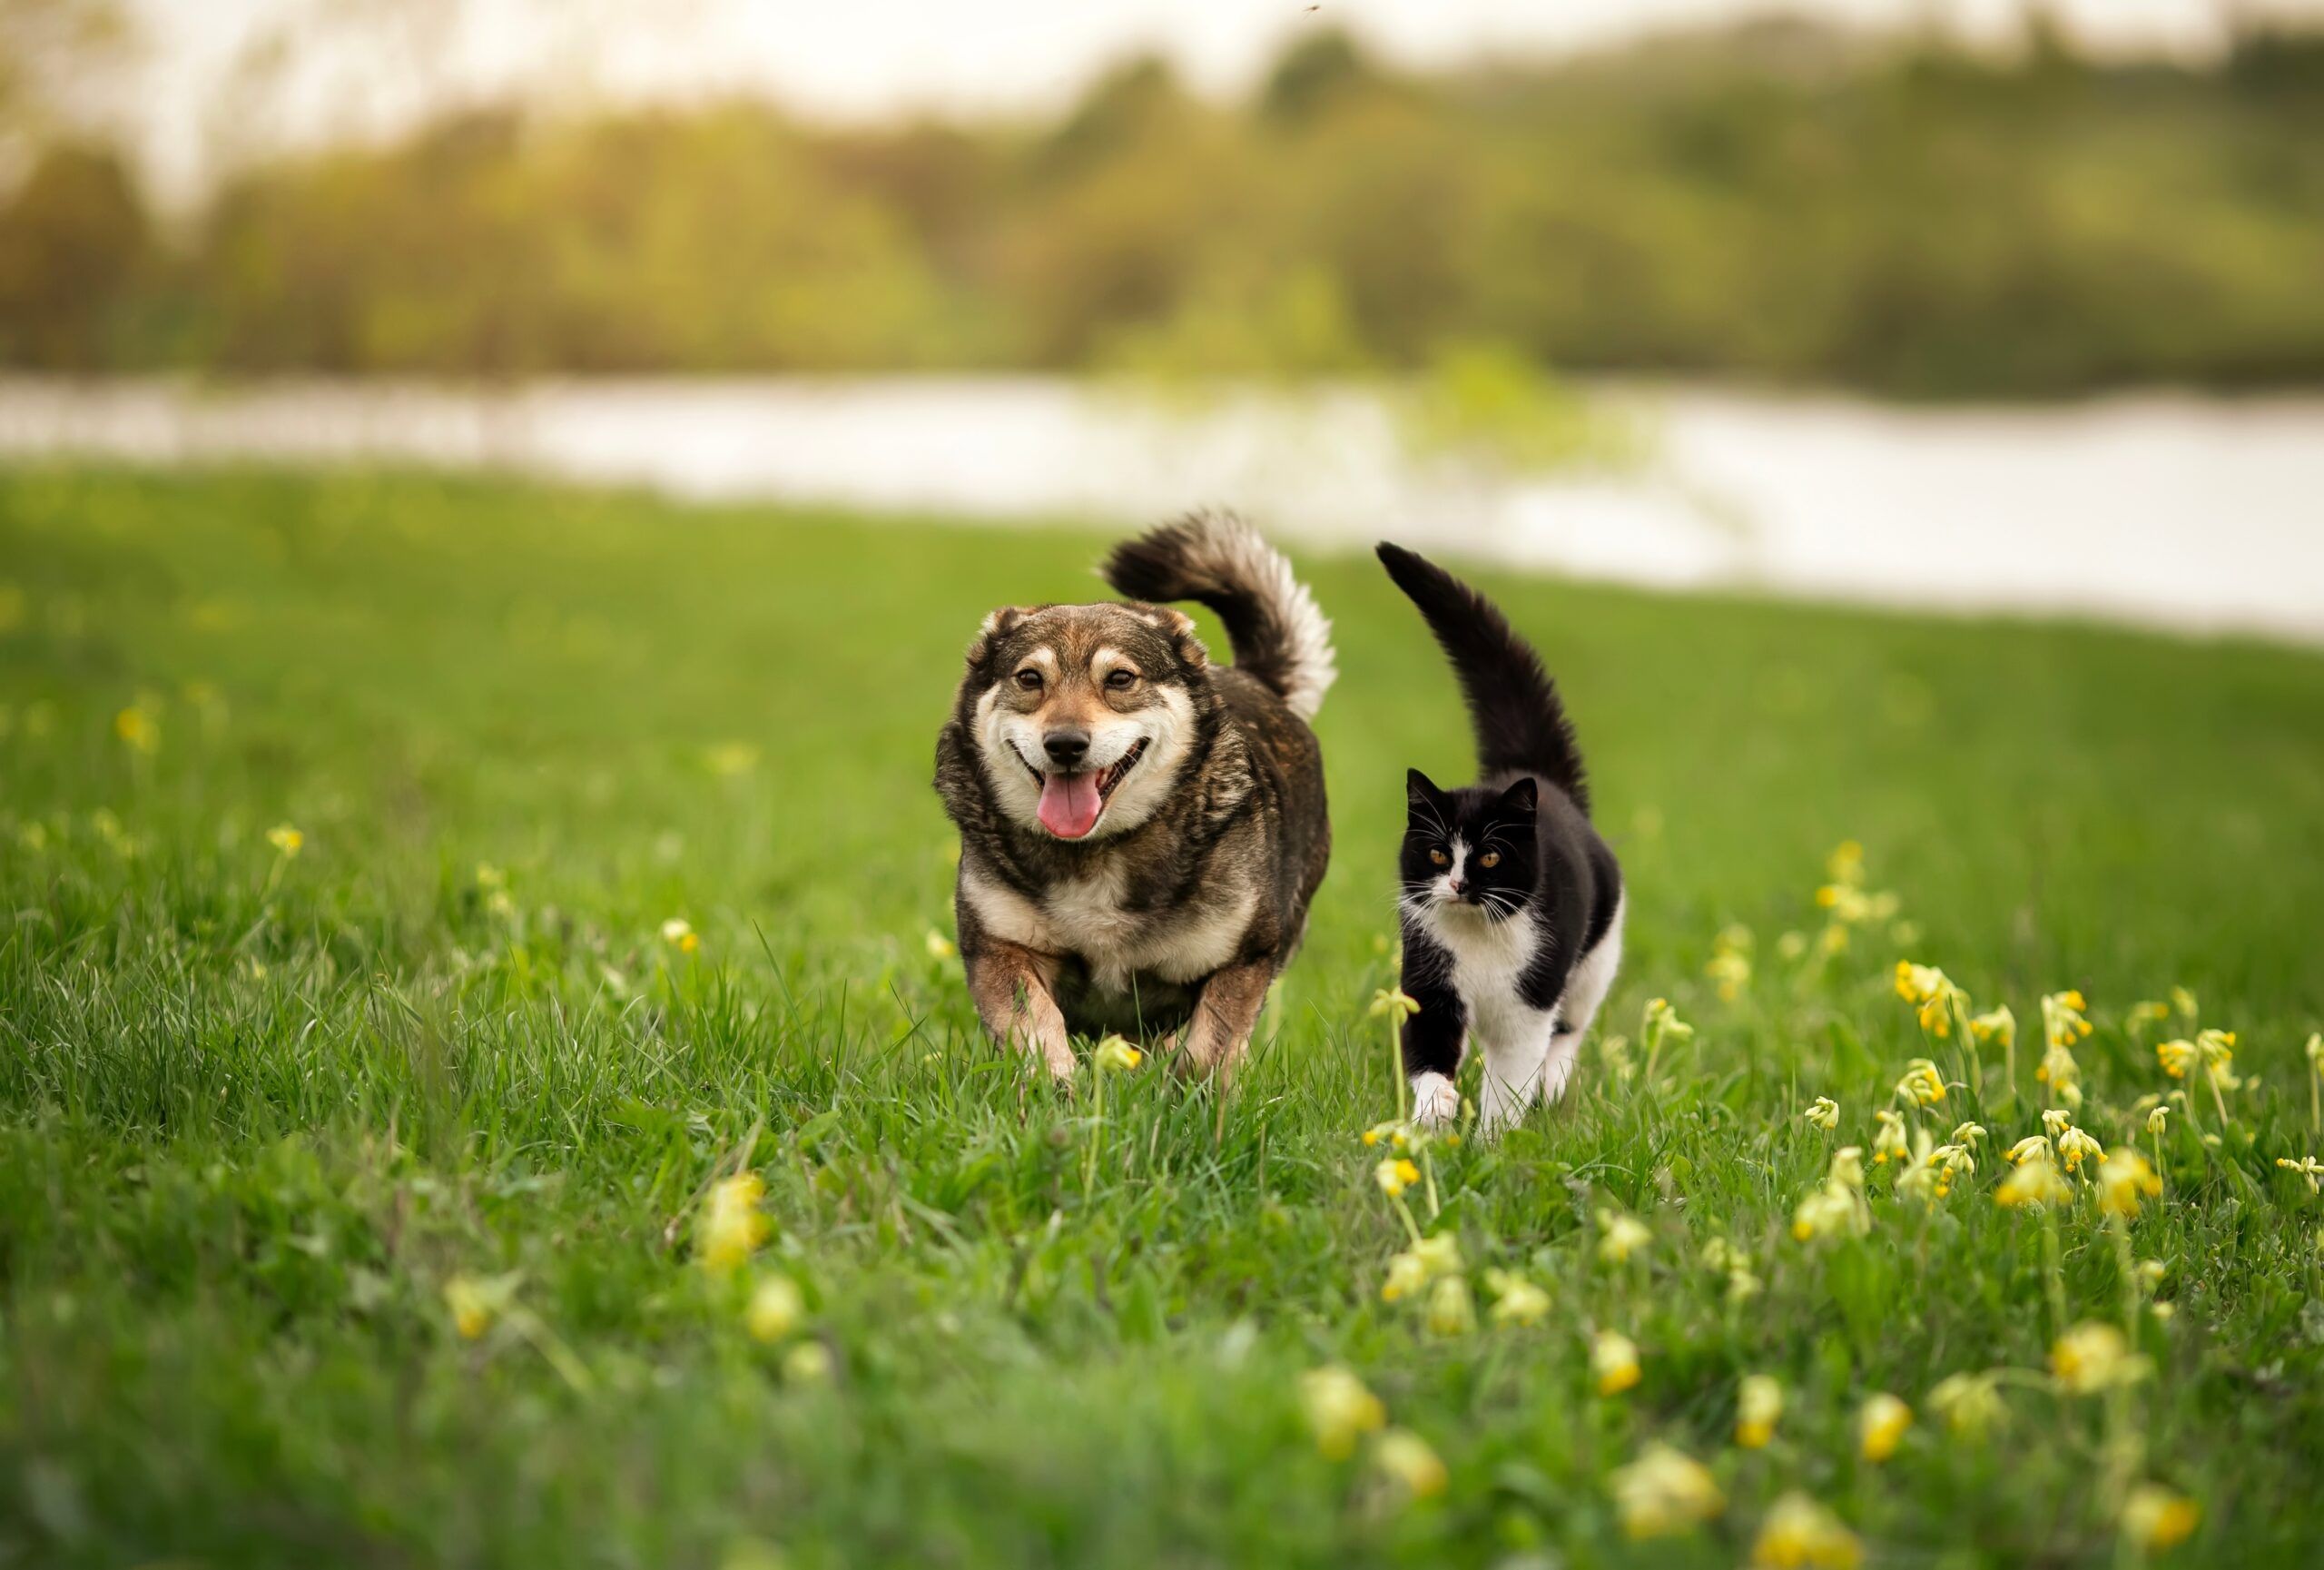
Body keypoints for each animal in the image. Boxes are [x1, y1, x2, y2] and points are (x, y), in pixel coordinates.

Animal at [934, 516, 1338, 1079]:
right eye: (1030, 679)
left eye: (1121, 678)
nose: (1064, 744)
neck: (1098, 850)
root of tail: (1256, 679)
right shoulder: (1000, 947)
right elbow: (1035, 1026)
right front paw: (1056, 1087)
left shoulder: (1243, 958)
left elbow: (1206, 1053)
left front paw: (1188, 1097)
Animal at [1366, 546, 1627, 1135]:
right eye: (1437, 852)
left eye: (1489, 856)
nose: (1459, 885)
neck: (1477, 941)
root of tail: (1537, 777)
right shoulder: (1431, 982)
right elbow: (1429, 1053)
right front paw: (1435, 1111)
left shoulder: (1527, 1005)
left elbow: (1510, 1079)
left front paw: (1490, 1140)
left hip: (1596, 956)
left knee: (1571, 1026)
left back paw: (1553, 1082)